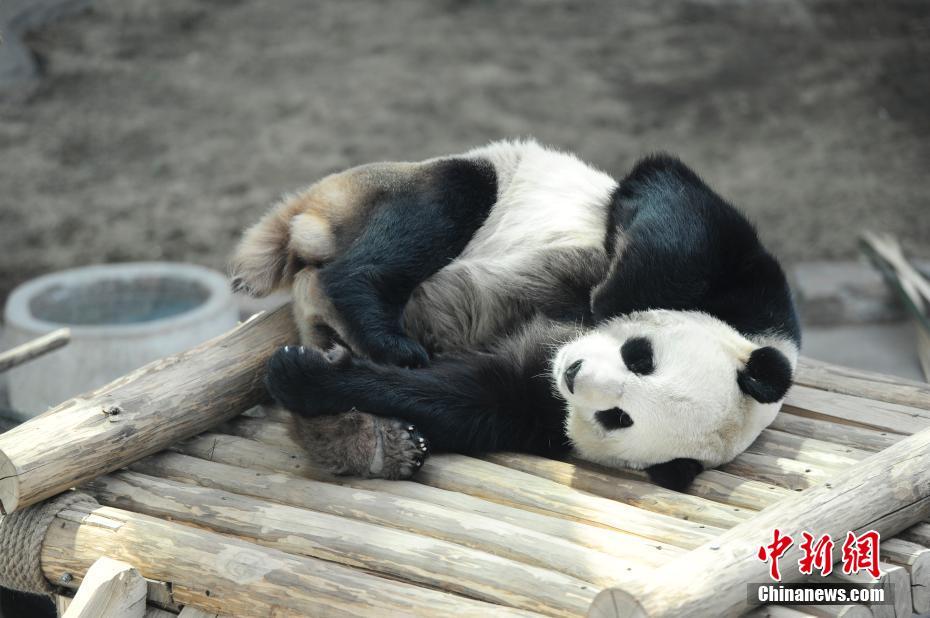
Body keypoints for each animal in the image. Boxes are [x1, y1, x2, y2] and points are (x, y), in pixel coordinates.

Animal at [230, 140, 796, 490]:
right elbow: (674, 202)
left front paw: (310, 379)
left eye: (618, 417)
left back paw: (372, 442)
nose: (574, 372)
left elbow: (468, 399)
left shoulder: (542, 412)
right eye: (642, 357)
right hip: (401, 185)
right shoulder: (757, 300)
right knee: (451, 198)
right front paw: (610, 295)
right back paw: (375, 327)